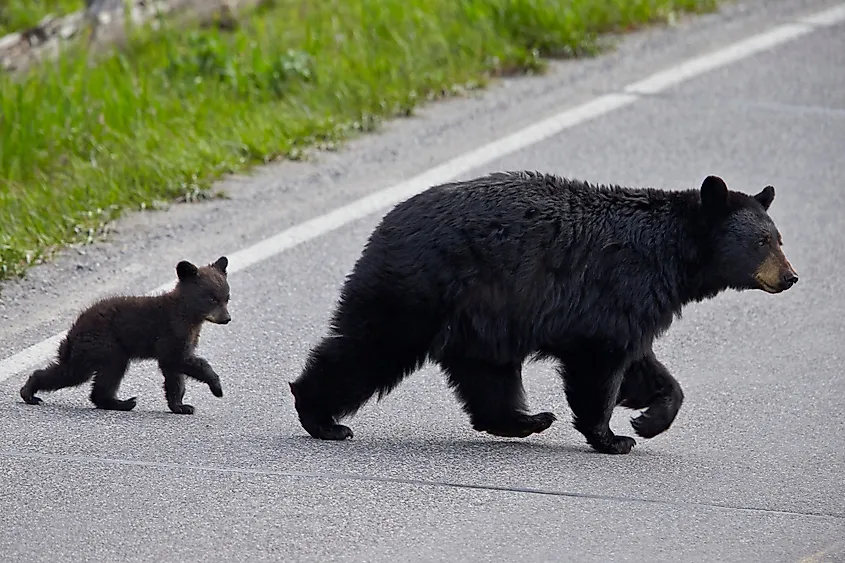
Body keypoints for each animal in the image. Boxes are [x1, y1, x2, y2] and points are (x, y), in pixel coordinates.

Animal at [20, 256, 232, 415]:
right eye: (211, 299)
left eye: (227, 298)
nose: (227, 318)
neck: (188, 315)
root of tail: (74, 329)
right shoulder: (172, 332)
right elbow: (179, 360)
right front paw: (216, 386)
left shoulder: (182, 339)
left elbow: (174, 374)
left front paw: (180, 406)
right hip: (104, 344)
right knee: (85, 373)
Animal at [289, 171, 799, 454]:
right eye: (762, 241)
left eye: (778, 238)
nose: (791, 276)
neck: (670, 254)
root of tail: (386, 223)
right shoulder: (615, 290)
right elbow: (601, 366)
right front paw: (613, 438)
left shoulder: (634, 305)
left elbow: (644, 365)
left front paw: (649, 418)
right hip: (420, 290)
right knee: (369, 347)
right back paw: (321, 417)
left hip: (481, 318)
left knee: (486, 376)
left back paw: (529, 419)